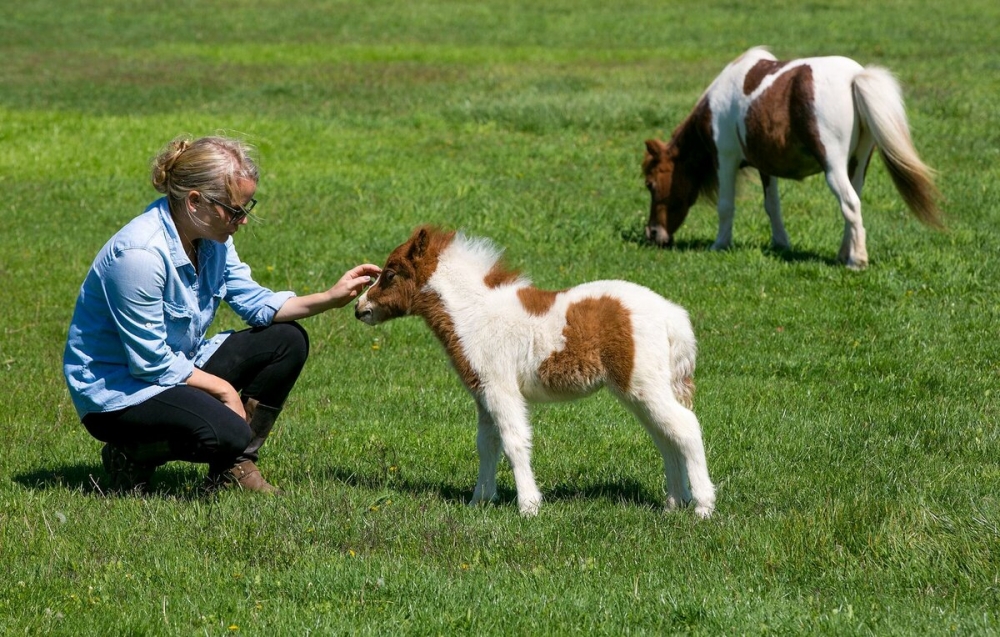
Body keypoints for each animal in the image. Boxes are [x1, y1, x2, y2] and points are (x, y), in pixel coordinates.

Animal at [356, 225, 716, 516]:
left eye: (391, 273)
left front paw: (528, 506)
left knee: (686, 427)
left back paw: (703, 506)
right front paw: (479, 501)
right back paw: (673, 504)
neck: (474, 313)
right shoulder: (483, 393)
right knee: (666, 436)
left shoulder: (500, 389)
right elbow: (487, 444)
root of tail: (673, 315)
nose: (360, 309)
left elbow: (514, 441)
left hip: (644, 386)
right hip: (639, 391)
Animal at [644, 45, 940, 268]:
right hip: (857, 165)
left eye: (650, 184)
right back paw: (844, 254)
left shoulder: (725, 159)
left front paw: (720, 244)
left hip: (834, 168)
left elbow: (726, 206)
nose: (652, 234)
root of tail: (855, 77)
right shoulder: (765, 166)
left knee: (850, 204)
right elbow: (772, 205)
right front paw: (780, 243)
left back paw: (856, 261)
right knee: (853, 204)